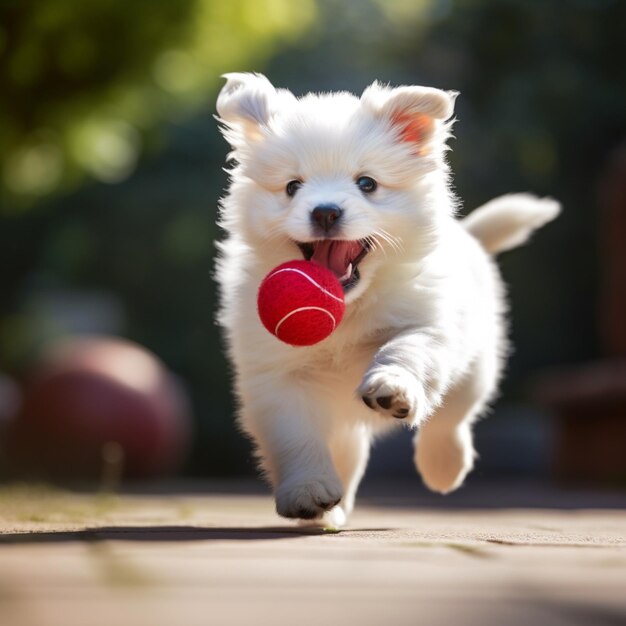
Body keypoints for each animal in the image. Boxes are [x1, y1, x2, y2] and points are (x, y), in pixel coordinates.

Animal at [213, 70, 556, 524]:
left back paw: (443, 465)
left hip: (477, 364)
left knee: (452, 415)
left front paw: (392, 386)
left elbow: (405, 351)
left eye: (367, 184)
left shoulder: (430, 323)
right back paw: (332, 511)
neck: (349, 307)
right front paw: (308, 492)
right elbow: (296, 436)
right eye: (292, 187)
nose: (325, 211)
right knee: (349, 453)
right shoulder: (276, 375)